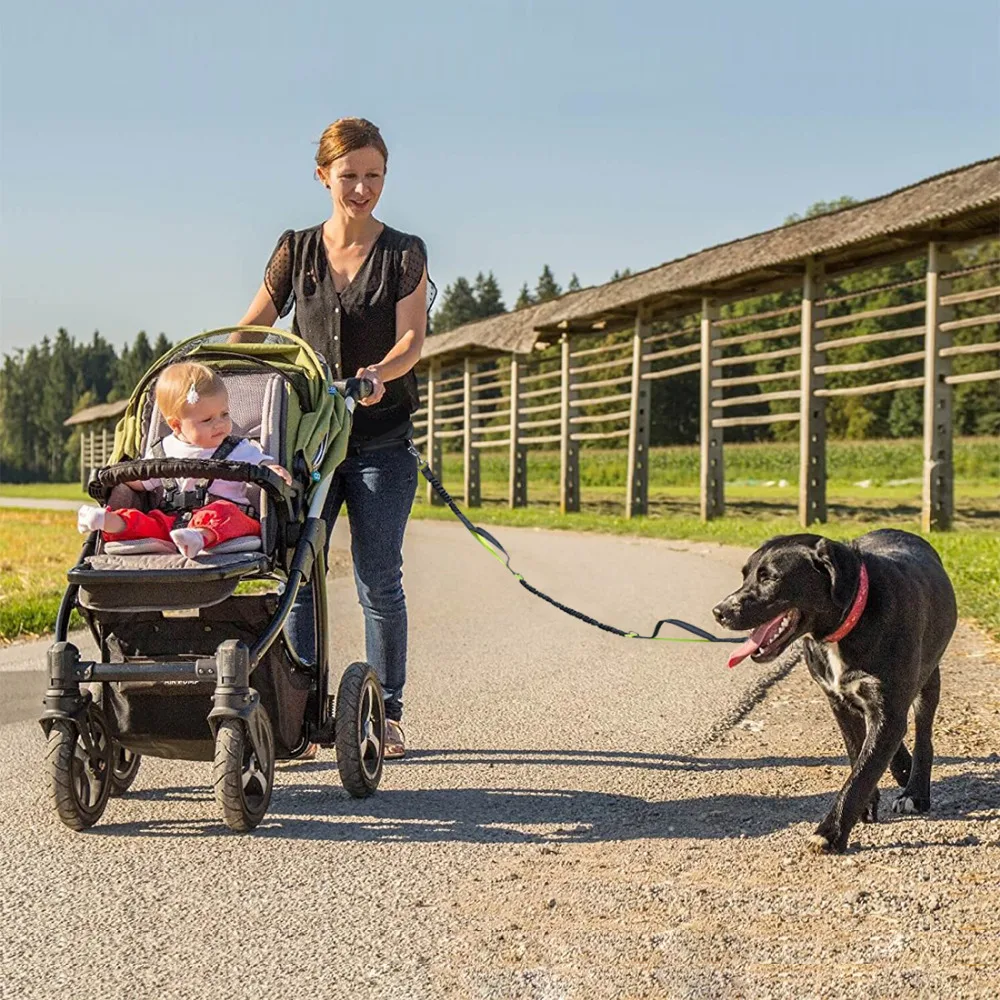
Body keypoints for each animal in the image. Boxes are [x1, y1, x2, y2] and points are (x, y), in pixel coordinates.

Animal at [716, 532, 956, 852]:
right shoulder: (839, 702)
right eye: (746, 575)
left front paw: (830, 832)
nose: (719, 612)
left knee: (924, 737)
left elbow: (862, 774)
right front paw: (865, 805)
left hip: (929, 679)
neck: (849, 621)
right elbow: (858, 755)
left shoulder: (889, 709)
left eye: (771, 578)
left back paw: (915, 791)